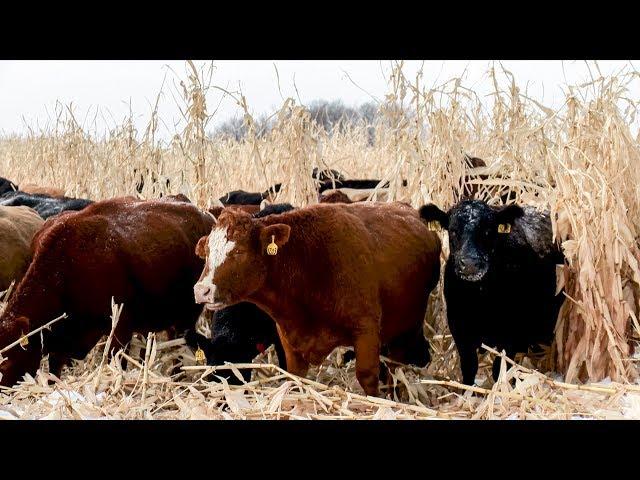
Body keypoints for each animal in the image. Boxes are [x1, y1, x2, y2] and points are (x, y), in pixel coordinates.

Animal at [190, 201, 440, 396]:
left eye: (239, 252)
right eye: (207, 251)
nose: (201, 290)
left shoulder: (366, 330)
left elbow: (368, 376)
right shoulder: (288, 339)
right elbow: (295, 377)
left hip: (406, 330)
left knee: (394, 369)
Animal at [420, 201, 564, 384]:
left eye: (488, 231)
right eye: (453, 230)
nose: (470, 263)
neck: (482, 298)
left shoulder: (511, 333)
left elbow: (500, 370)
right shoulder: (460, 329)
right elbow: (469, 367)